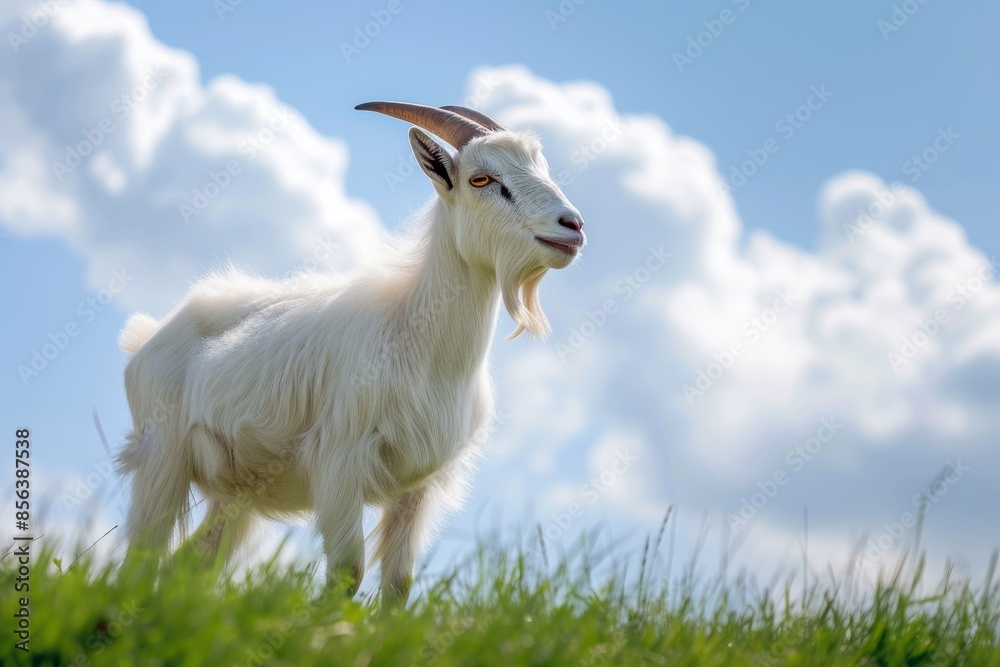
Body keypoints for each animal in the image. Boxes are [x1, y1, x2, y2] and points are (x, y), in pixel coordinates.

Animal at [116, 102, 586, 599]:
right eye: (481, 179)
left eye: (542, 168)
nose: (572, 226)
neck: (420, 342)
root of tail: (148, 337)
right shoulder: (339, 464)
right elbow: (346, 572)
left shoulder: (418, 484)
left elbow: (398, 583)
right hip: (162, 458)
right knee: (141, 557)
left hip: (236, 495)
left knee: (186, 566)